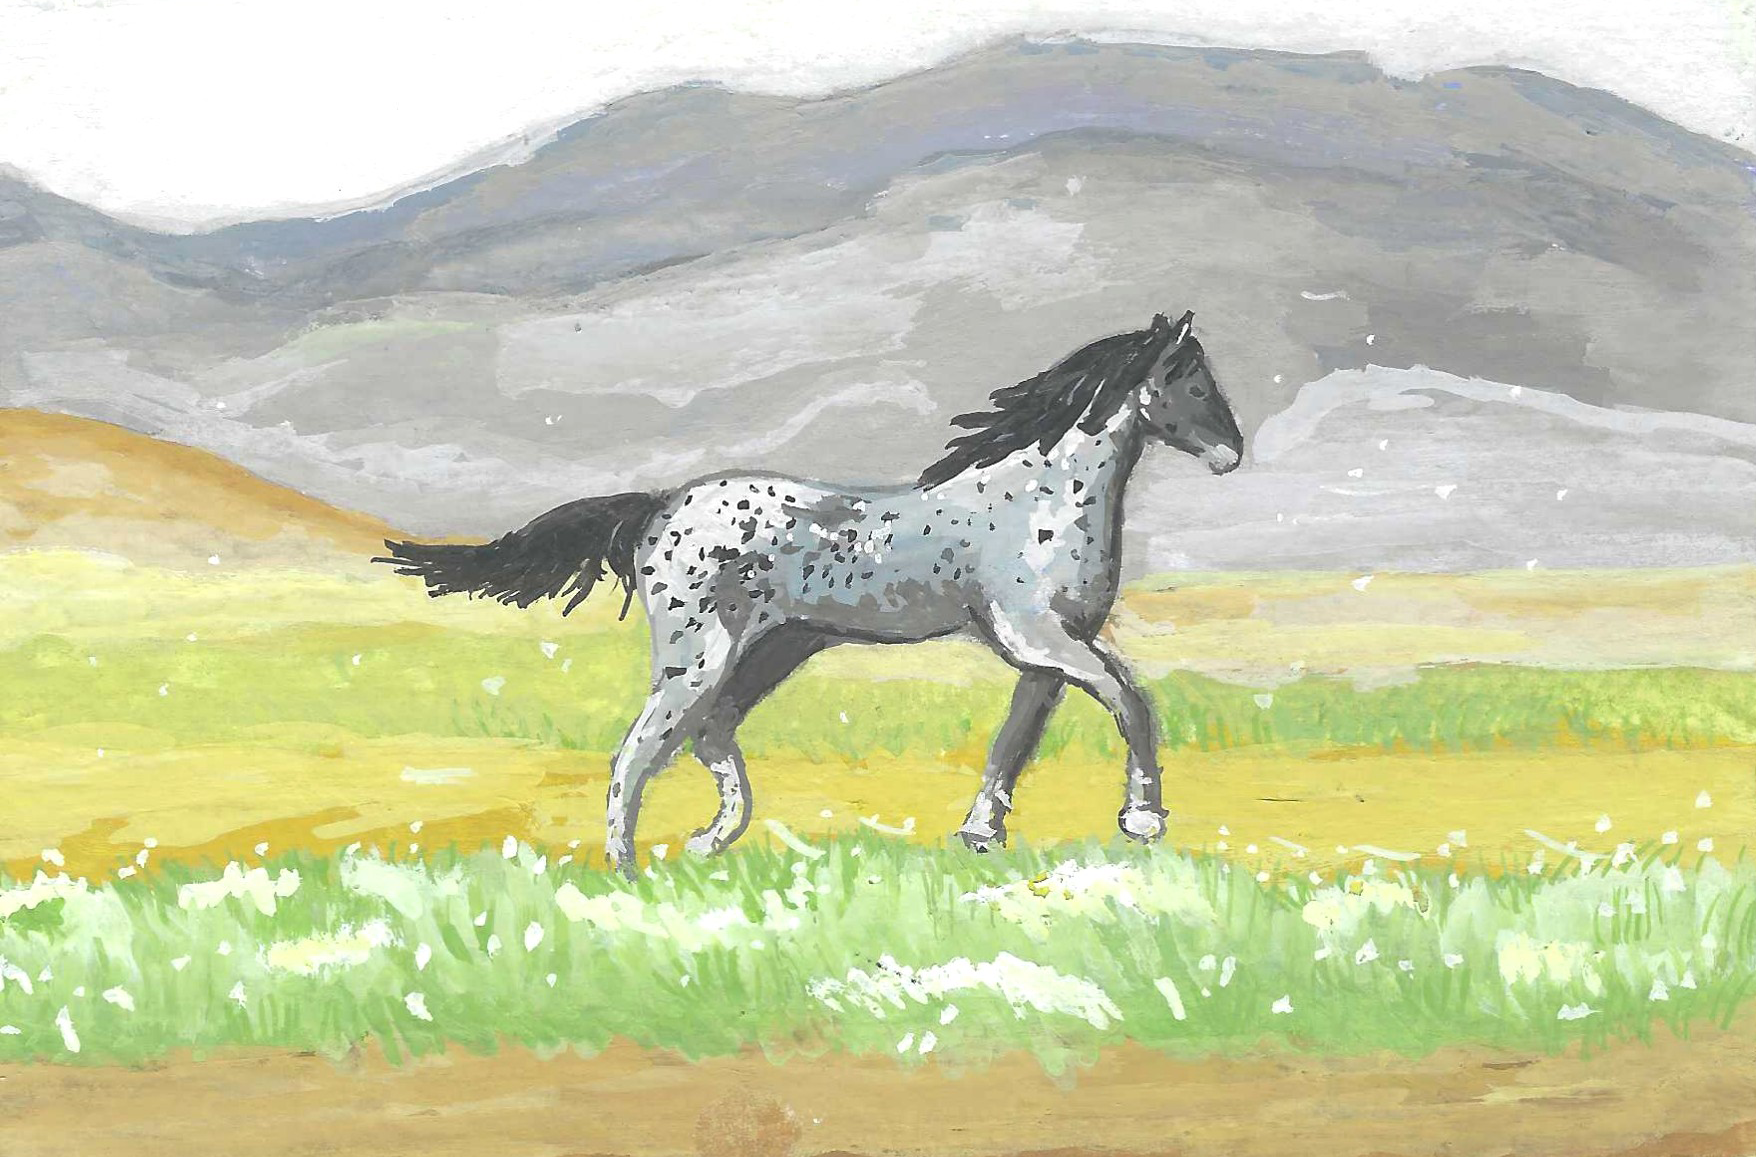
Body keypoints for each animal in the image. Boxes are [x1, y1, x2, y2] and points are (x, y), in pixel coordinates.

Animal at [376, 311, 1243, 875]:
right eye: (1188, 380)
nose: (1233, 455)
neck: (1043, 495)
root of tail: (657, 507)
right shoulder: (1042, 638)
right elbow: (1131, 699)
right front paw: (1142, 818)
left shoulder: (1042, 656)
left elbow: (1012, 743)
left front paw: (980, 835)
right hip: (701, 654)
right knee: (641, 748)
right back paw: (628, 871)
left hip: (778, 646)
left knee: (709, 733)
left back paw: (708, 842)